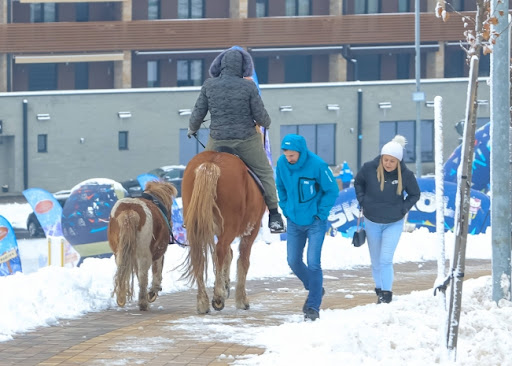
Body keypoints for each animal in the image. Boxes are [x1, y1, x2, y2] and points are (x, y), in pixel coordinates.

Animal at [107, 179, 177, 308]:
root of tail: (129, 211)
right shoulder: (159, 254)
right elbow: (156, 273)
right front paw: (153, 292)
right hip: (144, 255)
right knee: (143, 276)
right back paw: (143, 302)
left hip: (120, 253)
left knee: (122, 271)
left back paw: (121, 298)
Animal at [181, 150, 268, 314]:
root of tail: (211, 163)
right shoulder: (251, 230)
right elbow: (243, 260)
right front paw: (241, 299)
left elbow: (229, 254)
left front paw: (225, 283)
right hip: (231, 226)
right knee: (219, 250)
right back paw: (218, 296)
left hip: (198, 228)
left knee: (199, 256)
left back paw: (203, 301)